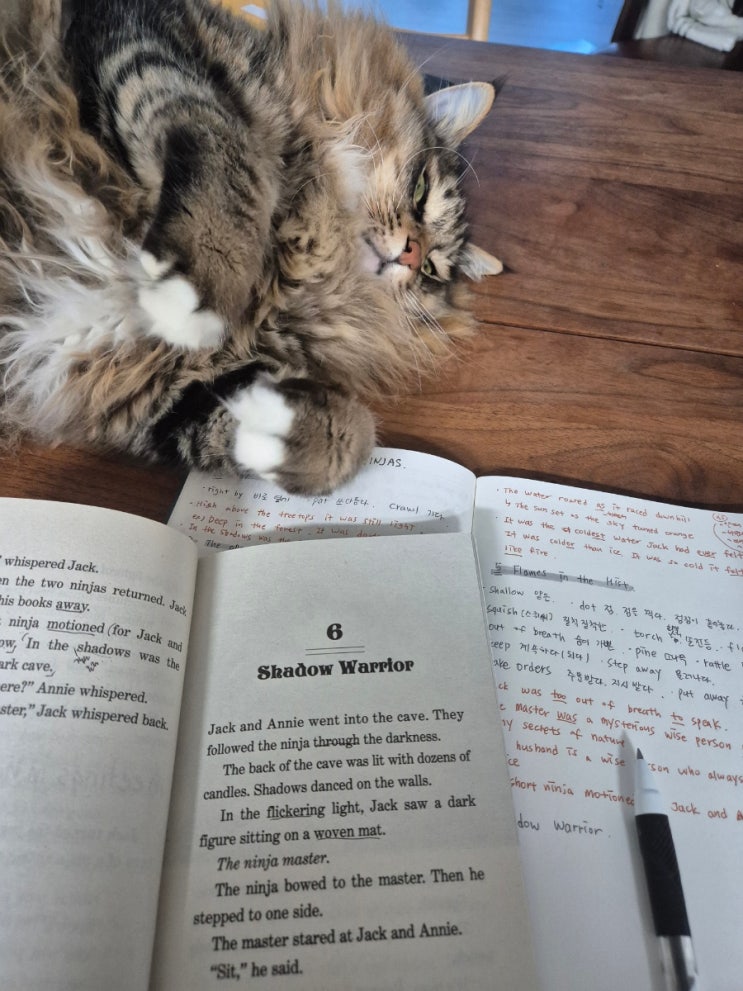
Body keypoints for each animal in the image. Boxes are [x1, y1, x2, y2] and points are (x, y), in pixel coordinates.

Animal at [0, 0, 502, 494]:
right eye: (420, 192)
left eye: (432, 271)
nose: (412, 255)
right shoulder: (136, 33)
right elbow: (229, 159)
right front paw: (189, 294)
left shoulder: (136, 382)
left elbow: (237, 423)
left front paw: (313, 433)